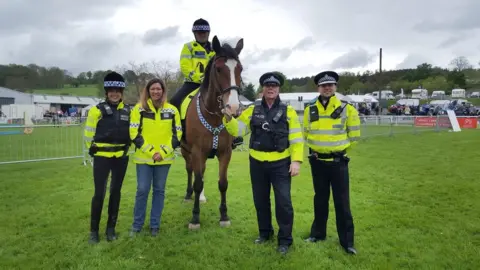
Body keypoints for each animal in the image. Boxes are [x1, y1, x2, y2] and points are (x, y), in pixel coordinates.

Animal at [180, 35, 244, 230]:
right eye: (218, 68)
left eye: (240, 69)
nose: (233, 107)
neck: (213, 116)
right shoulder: (196, 151)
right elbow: (197, 182)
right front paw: (195, 218)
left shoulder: (225, 152)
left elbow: (222, 184)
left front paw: (224, 216)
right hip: (186, 151)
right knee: (190, 171)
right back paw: (189, 195)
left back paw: (200, 198)